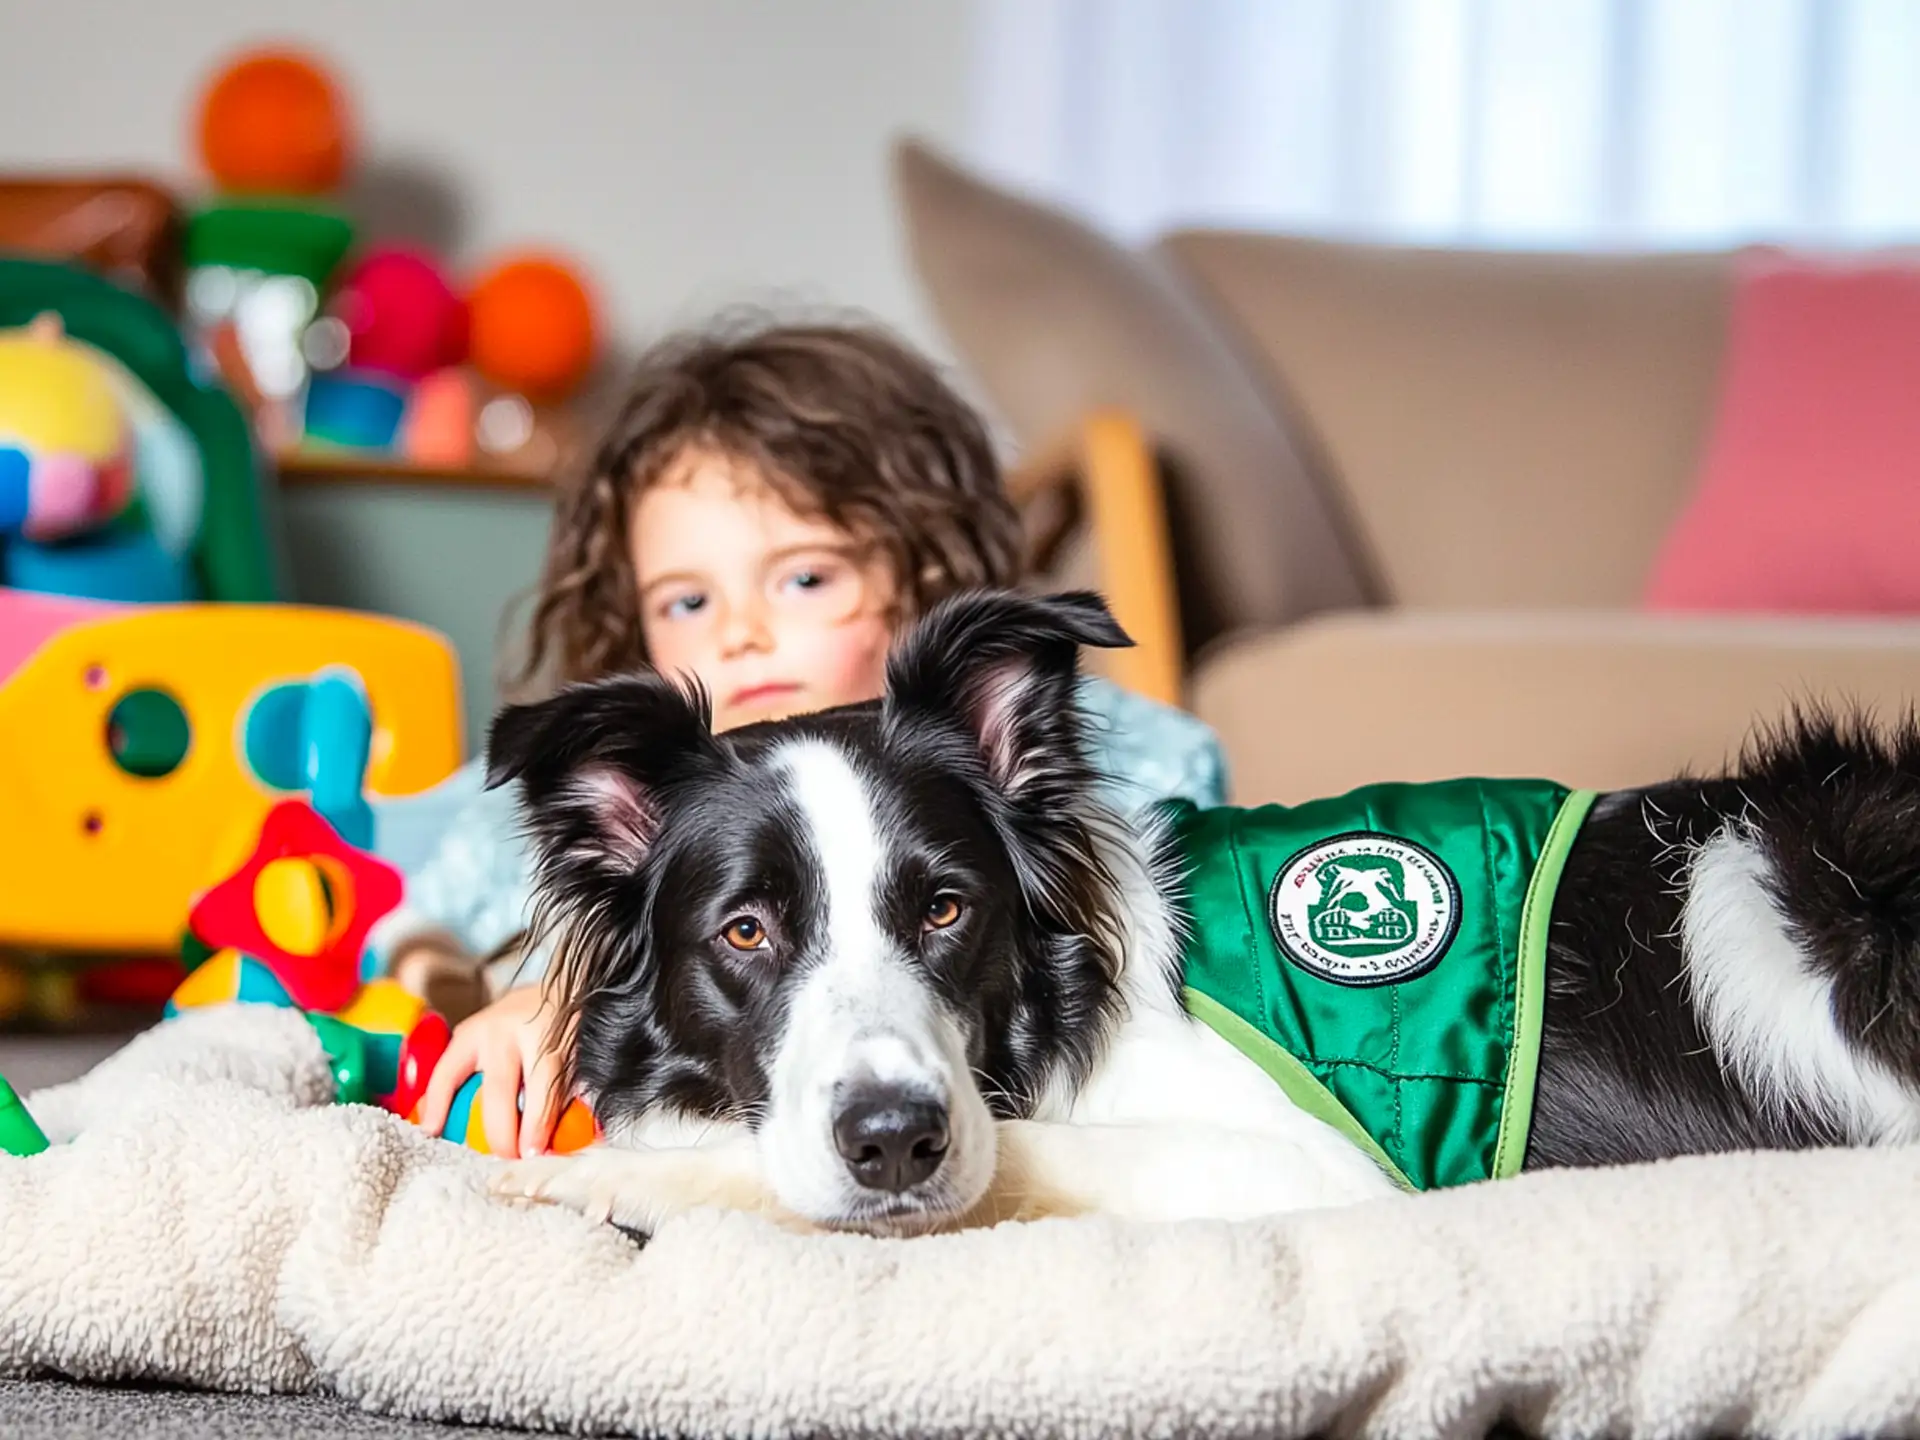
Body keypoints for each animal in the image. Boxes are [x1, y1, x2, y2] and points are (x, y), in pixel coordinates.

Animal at [487, 591, 1920, 1236]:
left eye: (946, 907)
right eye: (747, 934)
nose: (894, 1142)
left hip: (1772, 892)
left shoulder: (1322, 1173)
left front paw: (609, 1174)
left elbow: (1020, 1160)